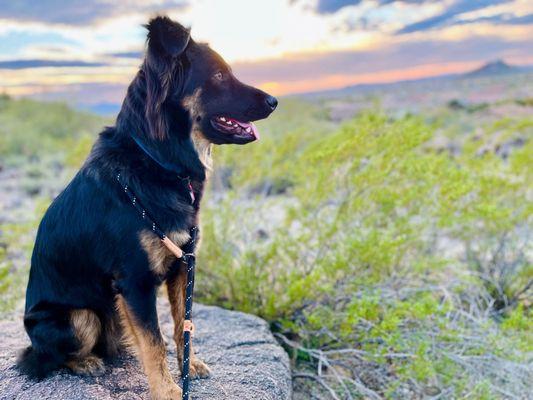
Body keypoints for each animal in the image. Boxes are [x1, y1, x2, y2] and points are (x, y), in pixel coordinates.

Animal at [17, 15, 276, 400]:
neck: (157, 160)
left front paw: (188, 365)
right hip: (78, 318)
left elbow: (182, 325)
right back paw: (86, 362)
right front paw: (167, 390)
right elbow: (153, 342)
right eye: (217, 76)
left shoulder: (183, 264)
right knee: (46, 357)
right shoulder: (135, 281)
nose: (274, 101)